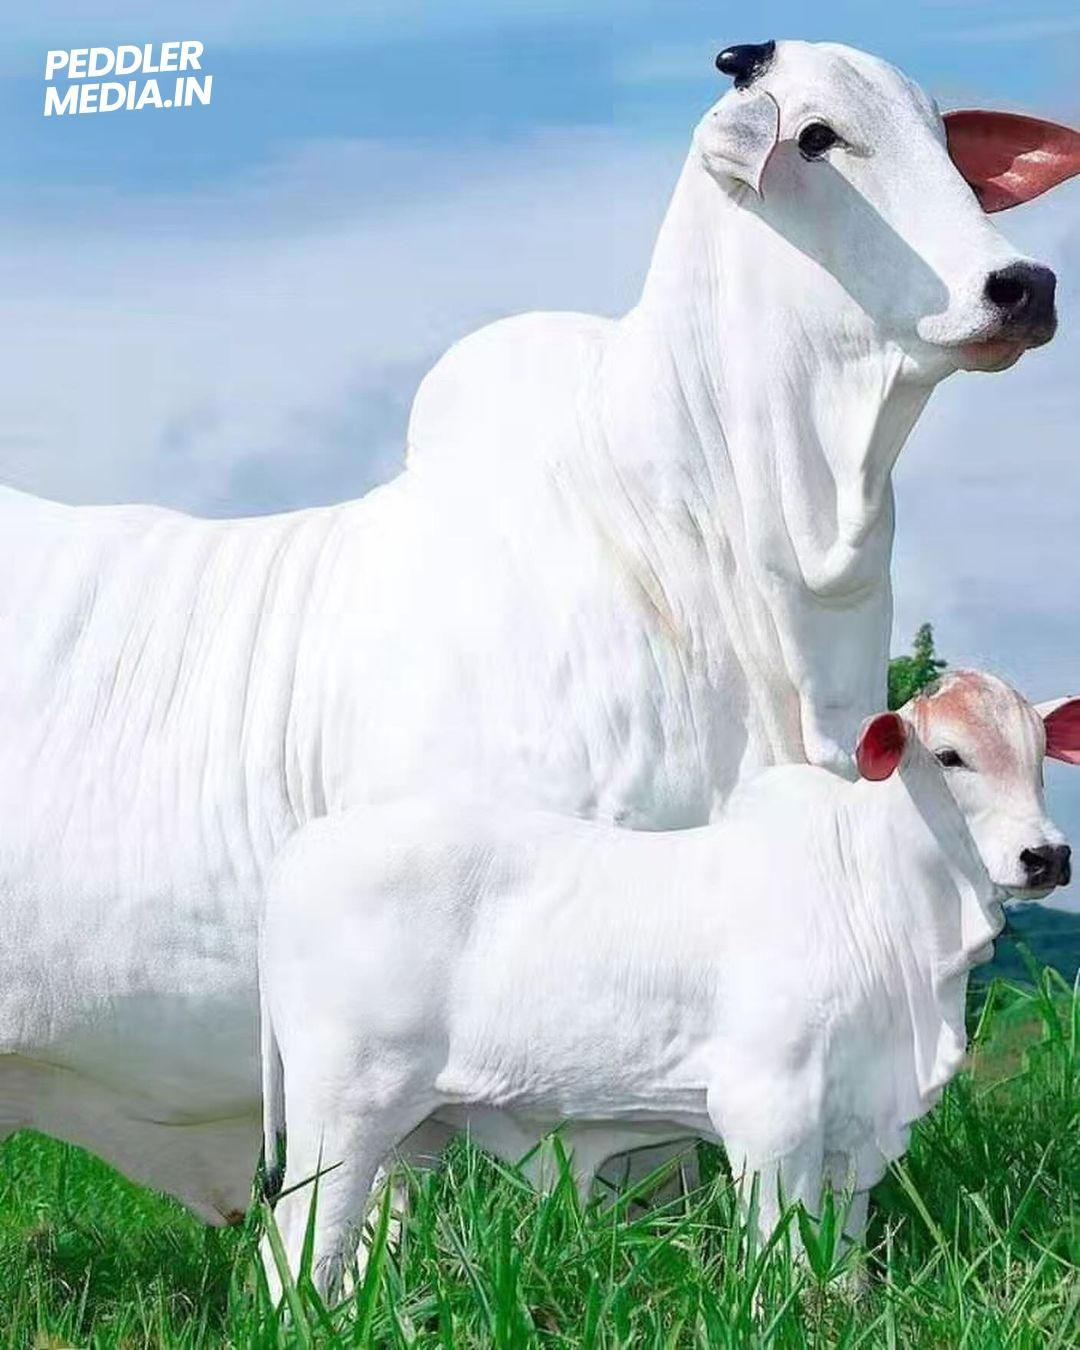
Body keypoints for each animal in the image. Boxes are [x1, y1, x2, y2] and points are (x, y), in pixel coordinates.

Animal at [259, 672, 1080, 1296]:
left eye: (1041, 754)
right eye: (949, 755)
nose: (1046, 856)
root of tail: (303, 848)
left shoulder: (856, 1131)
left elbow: (840, 1259)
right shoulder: (768, 1113)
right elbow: (780, 1257)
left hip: (410, 1131)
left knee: (365, 1240)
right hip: (340, 1113)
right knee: (294, 1240)